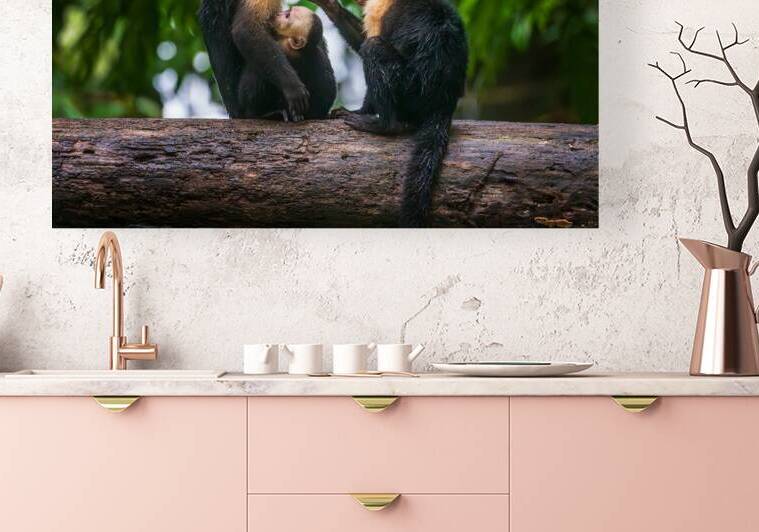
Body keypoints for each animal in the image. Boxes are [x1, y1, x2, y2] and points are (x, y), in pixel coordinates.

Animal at [341, 0, 469, 227]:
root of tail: (443, 101)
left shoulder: (377, 10)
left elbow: (370, 40)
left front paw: (363, 111)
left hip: (410, 89)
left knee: (373, 47)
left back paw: (383, 125)